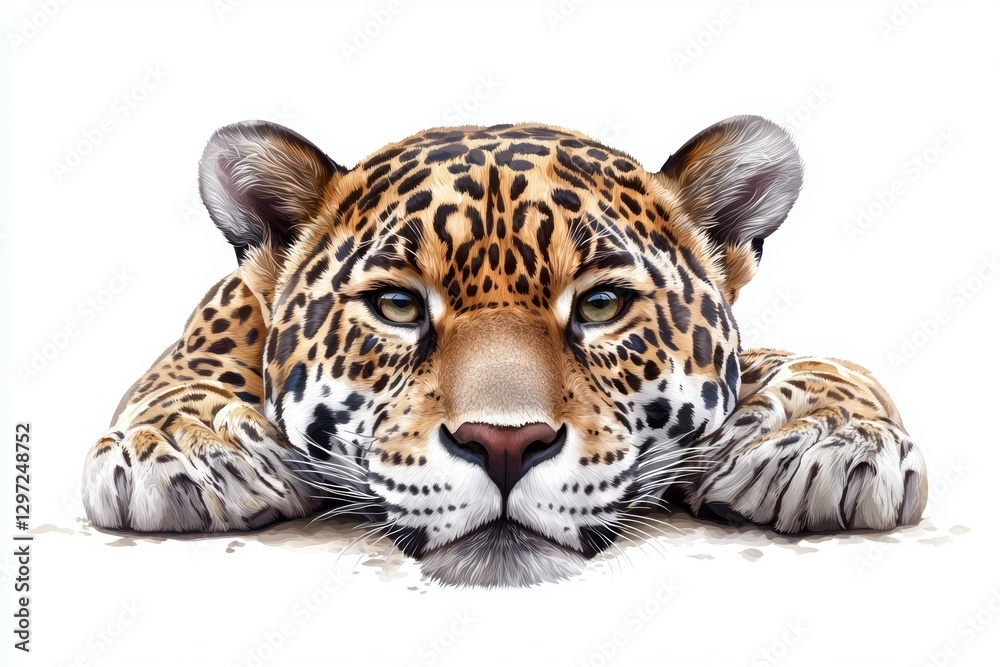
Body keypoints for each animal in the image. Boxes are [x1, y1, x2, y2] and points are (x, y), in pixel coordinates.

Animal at [82, 116, 927, 587]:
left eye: (601, 304)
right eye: (396, 306)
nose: (504, 444)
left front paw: (827, 444)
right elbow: (186, 372)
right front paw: (188, 449)